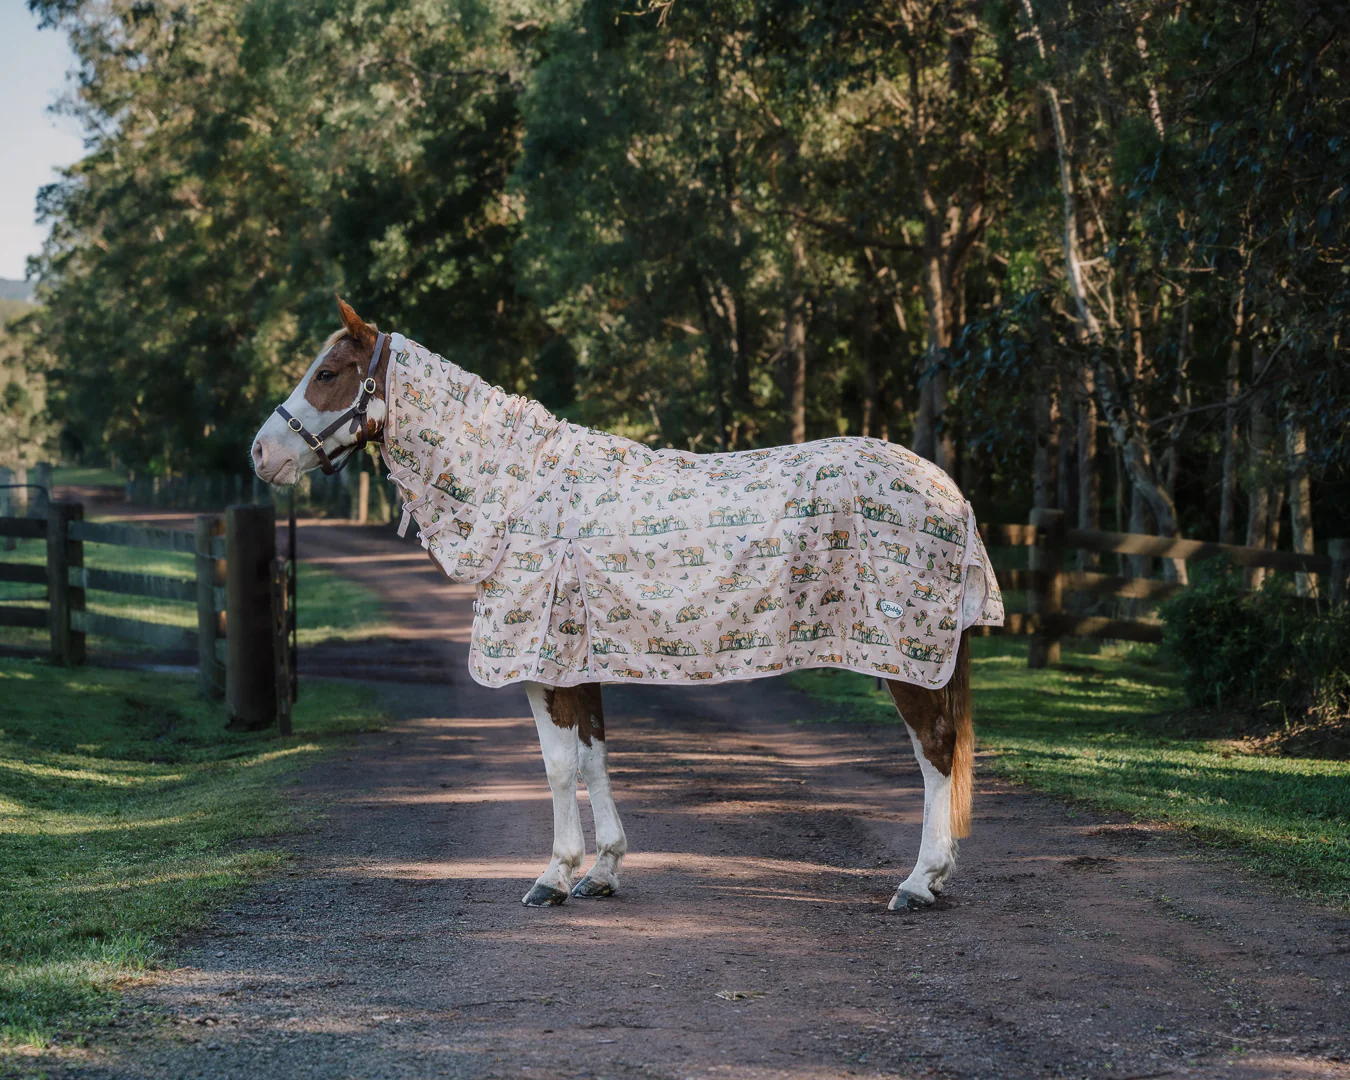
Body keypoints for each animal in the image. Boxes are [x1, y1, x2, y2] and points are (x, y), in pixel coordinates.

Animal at [251, 299, 1005, 911]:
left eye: (327, 373)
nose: (260, 453)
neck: (519, 492)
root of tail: (947, 489)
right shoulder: (578, 663)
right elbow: (593, 758)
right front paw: (602, 871)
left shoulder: (542, 665)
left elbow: (558, 766)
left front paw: (553, 876)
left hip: (907, 659)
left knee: (935, 750)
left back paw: (919, 882)